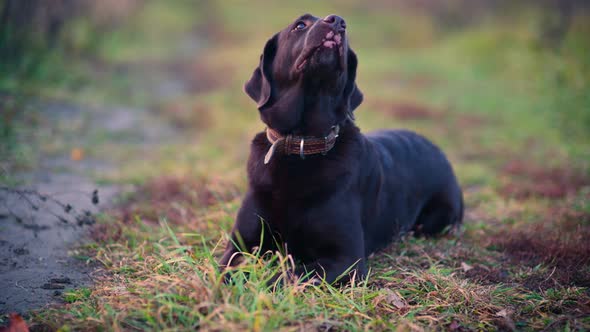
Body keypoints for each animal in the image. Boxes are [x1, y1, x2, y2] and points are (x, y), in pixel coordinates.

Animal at [220, 12, 464, 282]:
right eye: (300, 25)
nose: (337, 21)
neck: (302, 143)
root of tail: (435, 147)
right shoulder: (240, 243)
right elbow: (225, 268)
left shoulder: (345, 259)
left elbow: (288, 276)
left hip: (438, 216)